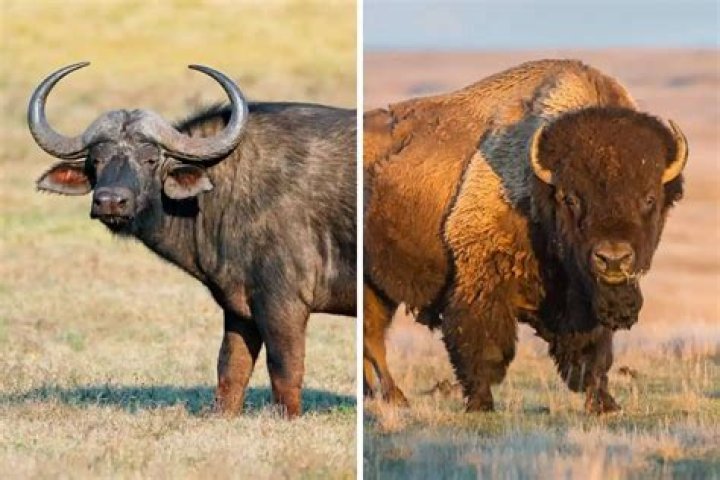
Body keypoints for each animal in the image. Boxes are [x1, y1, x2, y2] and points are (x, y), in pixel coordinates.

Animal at [29, 62, 356, 418]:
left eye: (151, 159)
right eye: (96, 159)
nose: (110, 201)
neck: (223, 188)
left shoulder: (283, 304)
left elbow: (285, 368)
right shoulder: (238, 307)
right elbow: (231, 367)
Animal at [363, 59, 687, 414]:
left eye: (649, 198)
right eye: (570, 198)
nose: (612, 259)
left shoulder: (587, 304)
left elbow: (593, 355)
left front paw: (604, 404)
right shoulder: (481, 282)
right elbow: (484, 346)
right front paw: (481, 404)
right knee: (374, 339)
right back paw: (396, 397)